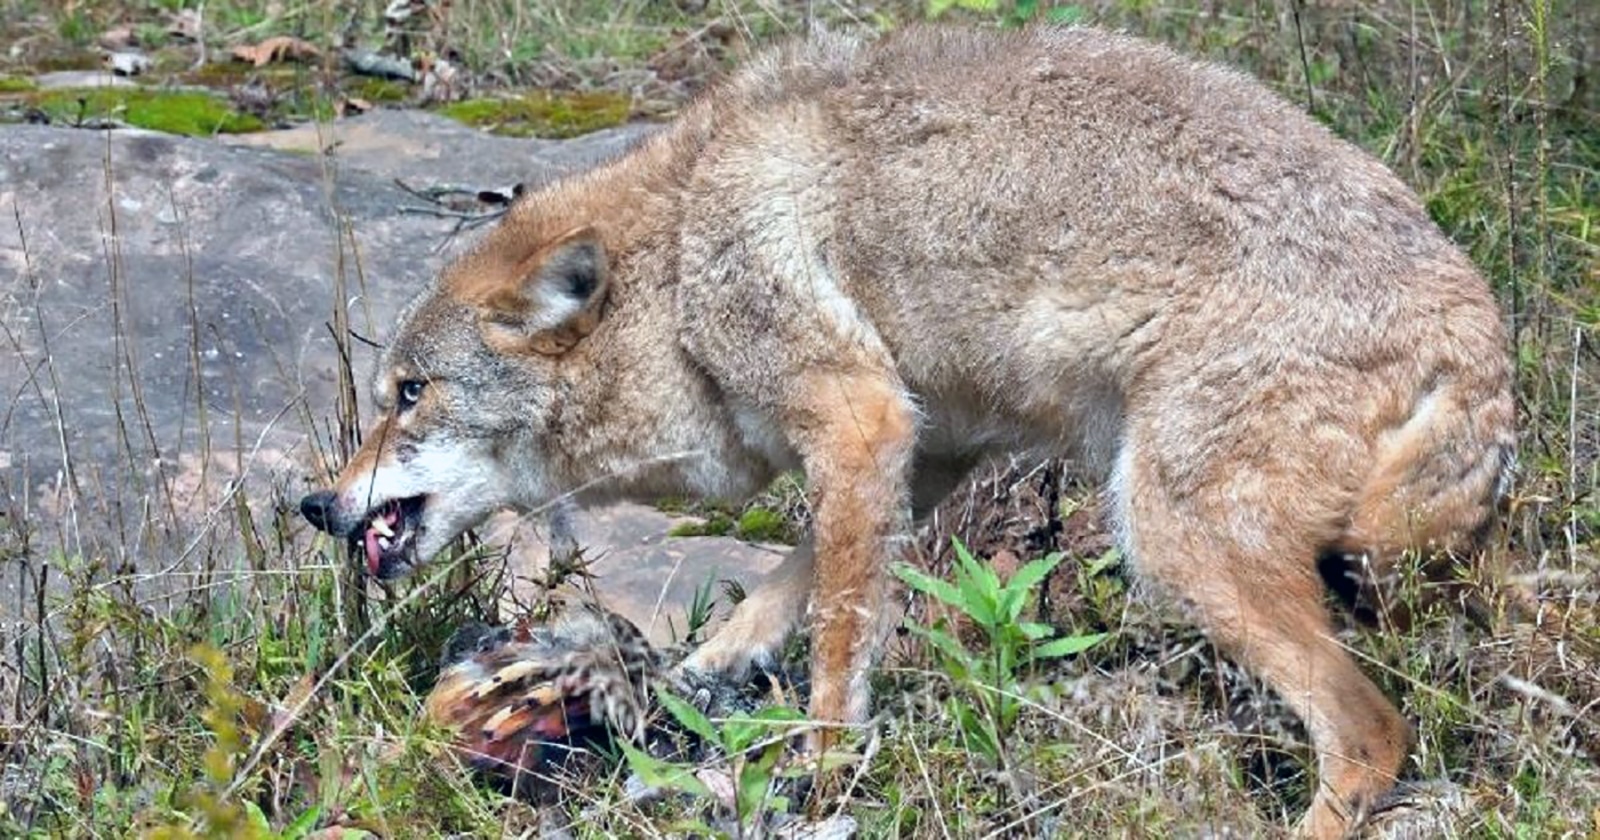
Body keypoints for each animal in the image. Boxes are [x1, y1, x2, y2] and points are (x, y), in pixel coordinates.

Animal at [300, 22, 1510, 832]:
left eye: (409, 392)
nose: (313, 503)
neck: (682, 263)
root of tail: (1477, 325)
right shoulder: (922, 441)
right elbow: (794, 581)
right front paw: (706, 667)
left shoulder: (855, 416)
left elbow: (841, 630)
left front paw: (825, 768)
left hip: (1167, 538)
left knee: (1370, 735)